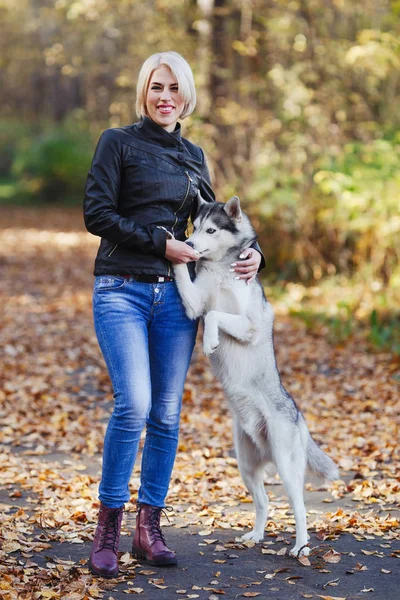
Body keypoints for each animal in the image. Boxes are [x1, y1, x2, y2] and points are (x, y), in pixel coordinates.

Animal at [172, 192, 338, 556]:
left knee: (300, 508)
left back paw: (300, 546)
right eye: (194, 227)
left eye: (211, 229)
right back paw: (257, 535)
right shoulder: (194, 304)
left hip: (286, 466)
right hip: (246, 464)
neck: (222, 270)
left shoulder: (247, 325)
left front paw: (210, 342)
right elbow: (201, 300)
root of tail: (298, 414)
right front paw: (172, 248)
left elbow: (216, 316)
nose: (188, 243)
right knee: (264, 502)